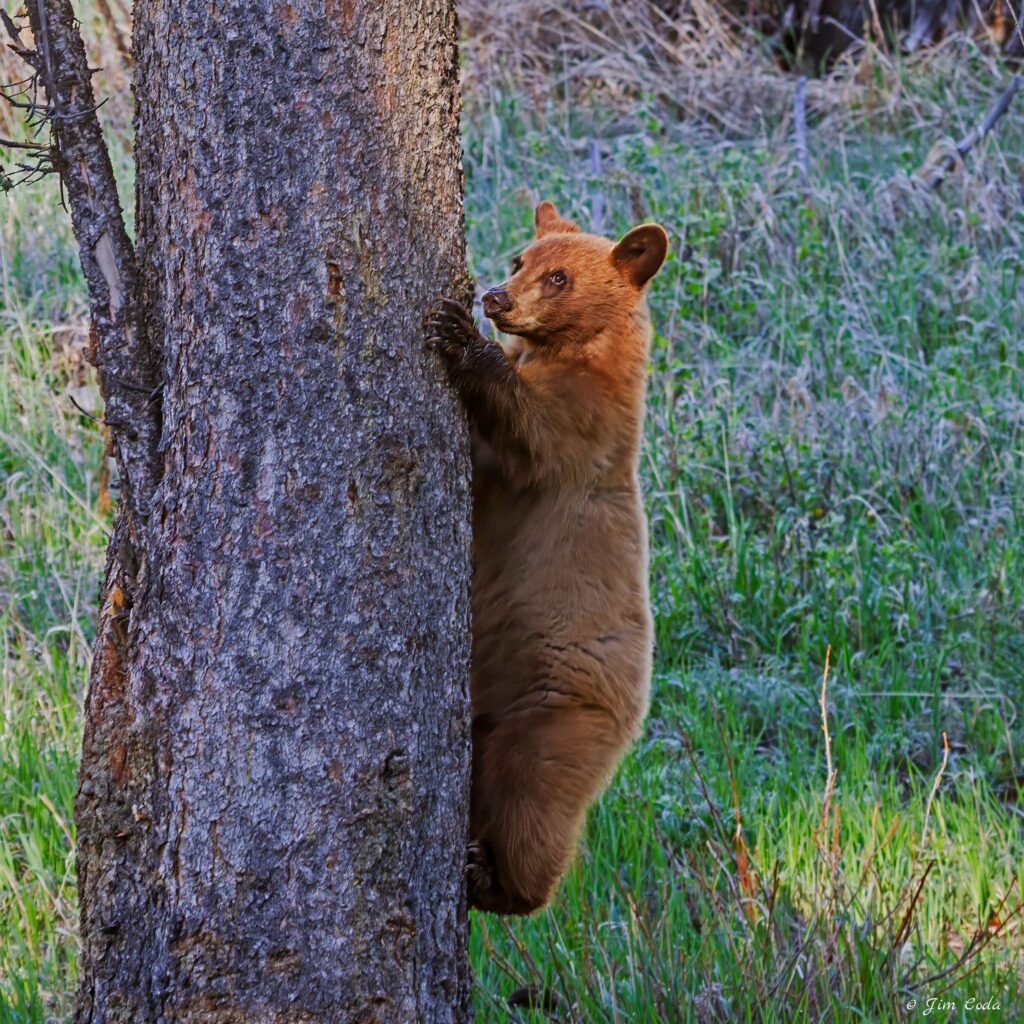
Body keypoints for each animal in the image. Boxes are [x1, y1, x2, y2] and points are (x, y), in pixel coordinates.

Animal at [426, 200, 668, 915]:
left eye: (560, 277)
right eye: (520, 260)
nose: (495, 297)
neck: (573, 351)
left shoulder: (587, 427)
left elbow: (531, 431)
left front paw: (461, 339)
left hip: (558, 719)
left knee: (533, 806)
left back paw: (496, 881)